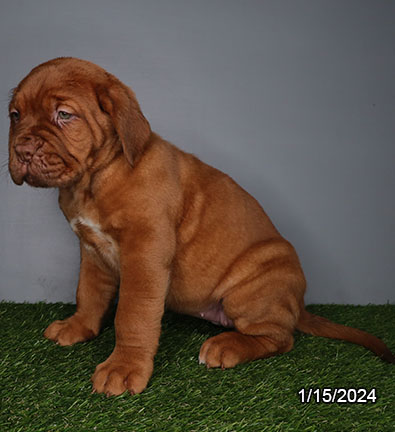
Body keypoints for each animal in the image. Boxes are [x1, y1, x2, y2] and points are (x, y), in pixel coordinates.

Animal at [7, 57, 394, 394]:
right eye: (15, 115)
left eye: (64, 115)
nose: (21, 149)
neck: (95, 180)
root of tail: (298, 305)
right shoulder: (91, 250)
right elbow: (88, 292)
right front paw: (79, 327)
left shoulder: (144, 255)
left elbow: (132, 314)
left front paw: (124, 367)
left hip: (253, 285)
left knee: (281, 338)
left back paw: (228, 347)